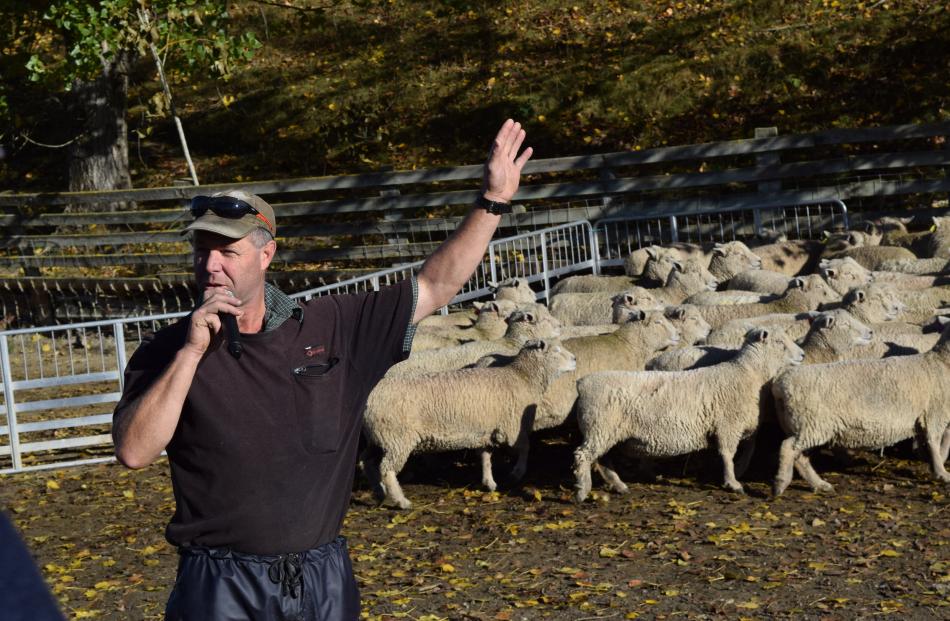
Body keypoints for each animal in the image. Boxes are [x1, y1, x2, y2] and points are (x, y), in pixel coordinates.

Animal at [360, 340, 576, 508]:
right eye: (556, 350)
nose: (574, 359)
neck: (522, 377)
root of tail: (371, 397)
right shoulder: (513, 427)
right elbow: (524, 448)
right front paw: (517, 473)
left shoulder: (487, 429)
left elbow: (485, 456)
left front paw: (489, 483)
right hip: (397, 438)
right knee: (386, 469)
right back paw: (400, 501)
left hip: (377, 438)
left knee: (368, 463)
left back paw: (380, 493)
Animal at [576, 324, 808, 498]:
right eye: (779, 343)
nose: (802, 355)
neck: (748, 374)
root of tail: (583, 383)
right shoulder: (728, 424)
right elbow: (727, 454)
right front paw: (732, 483)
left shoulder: (740, 424)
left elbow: (749, 446)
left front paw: (736, 471)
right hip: (600, 428)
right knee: (583, 456)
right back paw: (582, 490)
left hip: (606, 432)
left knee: (603, 460)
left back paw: (619, 485)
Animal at [772, 324, 950, 494]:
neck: (941, 362)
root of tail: (781, 384)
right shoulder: (935, 412)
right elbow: (934, 442)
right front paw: (941, 472)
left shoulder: (927, 416)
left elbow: (937, 440)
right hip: (812, 424)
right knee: (788, 448)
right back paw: (781, 483)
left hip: (804, 426)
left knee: (800, 457)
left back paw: (819, 484)